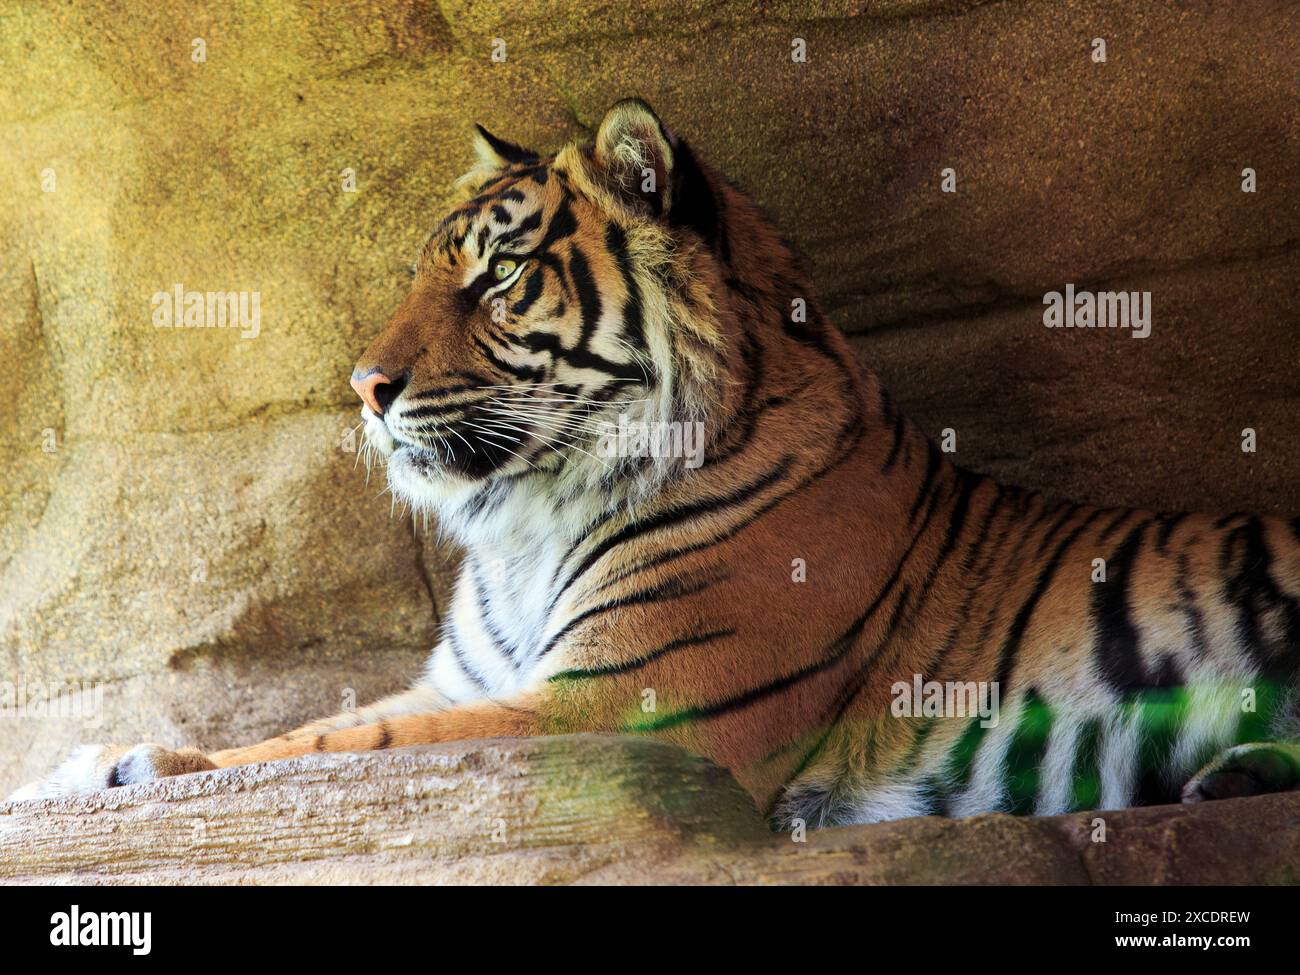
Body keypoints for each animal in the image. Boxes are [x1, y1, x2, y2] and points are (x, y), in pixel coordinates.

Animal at [15, 101, 1300, 832]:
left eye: (498, 275)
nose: (362, 389)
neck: (527, 521)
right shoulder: (465, 686)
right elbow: (321, 724)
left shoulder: (619, 707)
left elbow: (321, 748)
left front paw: (90, 769)